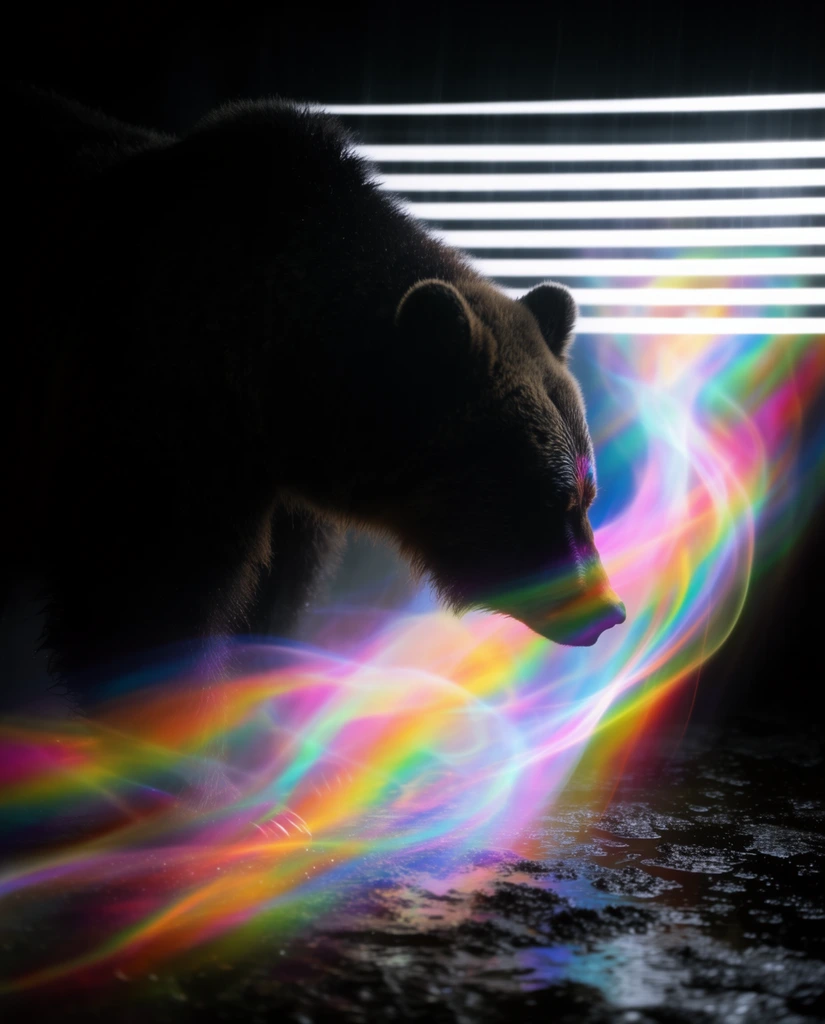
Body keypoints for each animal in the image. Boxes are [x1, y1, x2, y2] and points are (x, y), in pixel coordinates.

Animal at [3, 83, 625, 699]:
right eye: (553, 499)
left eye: (587, 494)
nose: (607, 610)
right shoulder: (158, 409)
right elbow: (145, 602)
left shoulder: (285, 505)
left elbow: (272, 601)